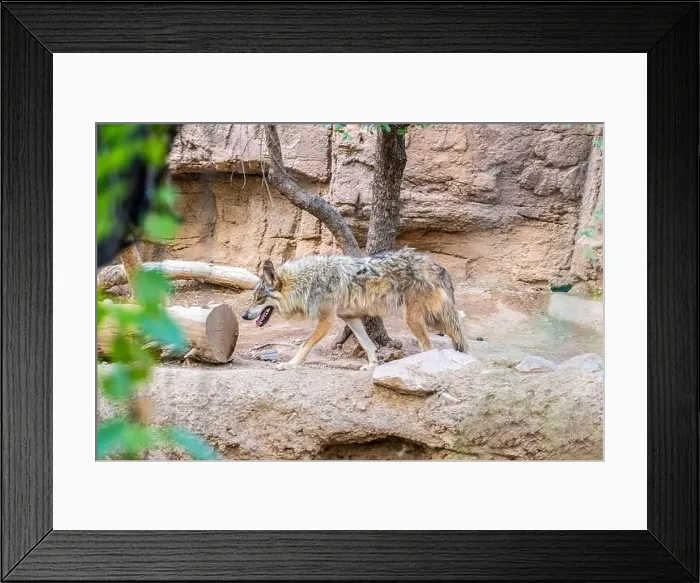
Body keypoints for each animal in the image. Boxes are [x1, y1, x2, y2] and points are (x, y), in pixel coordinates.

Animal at [241, 247, 467, 370]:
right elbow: (368, 345)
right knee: (458, 339)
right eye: (253, 298)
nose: (244, 315)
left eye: (259, 299)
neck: (308, 282)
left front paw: (289, 364)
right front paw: (373, 366)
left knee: (430, 347)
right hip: (434, 320)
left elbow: (305, 345)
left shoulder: (327, 320)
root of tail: (437, 266)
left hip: (414, 320)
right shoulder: (350, 318)